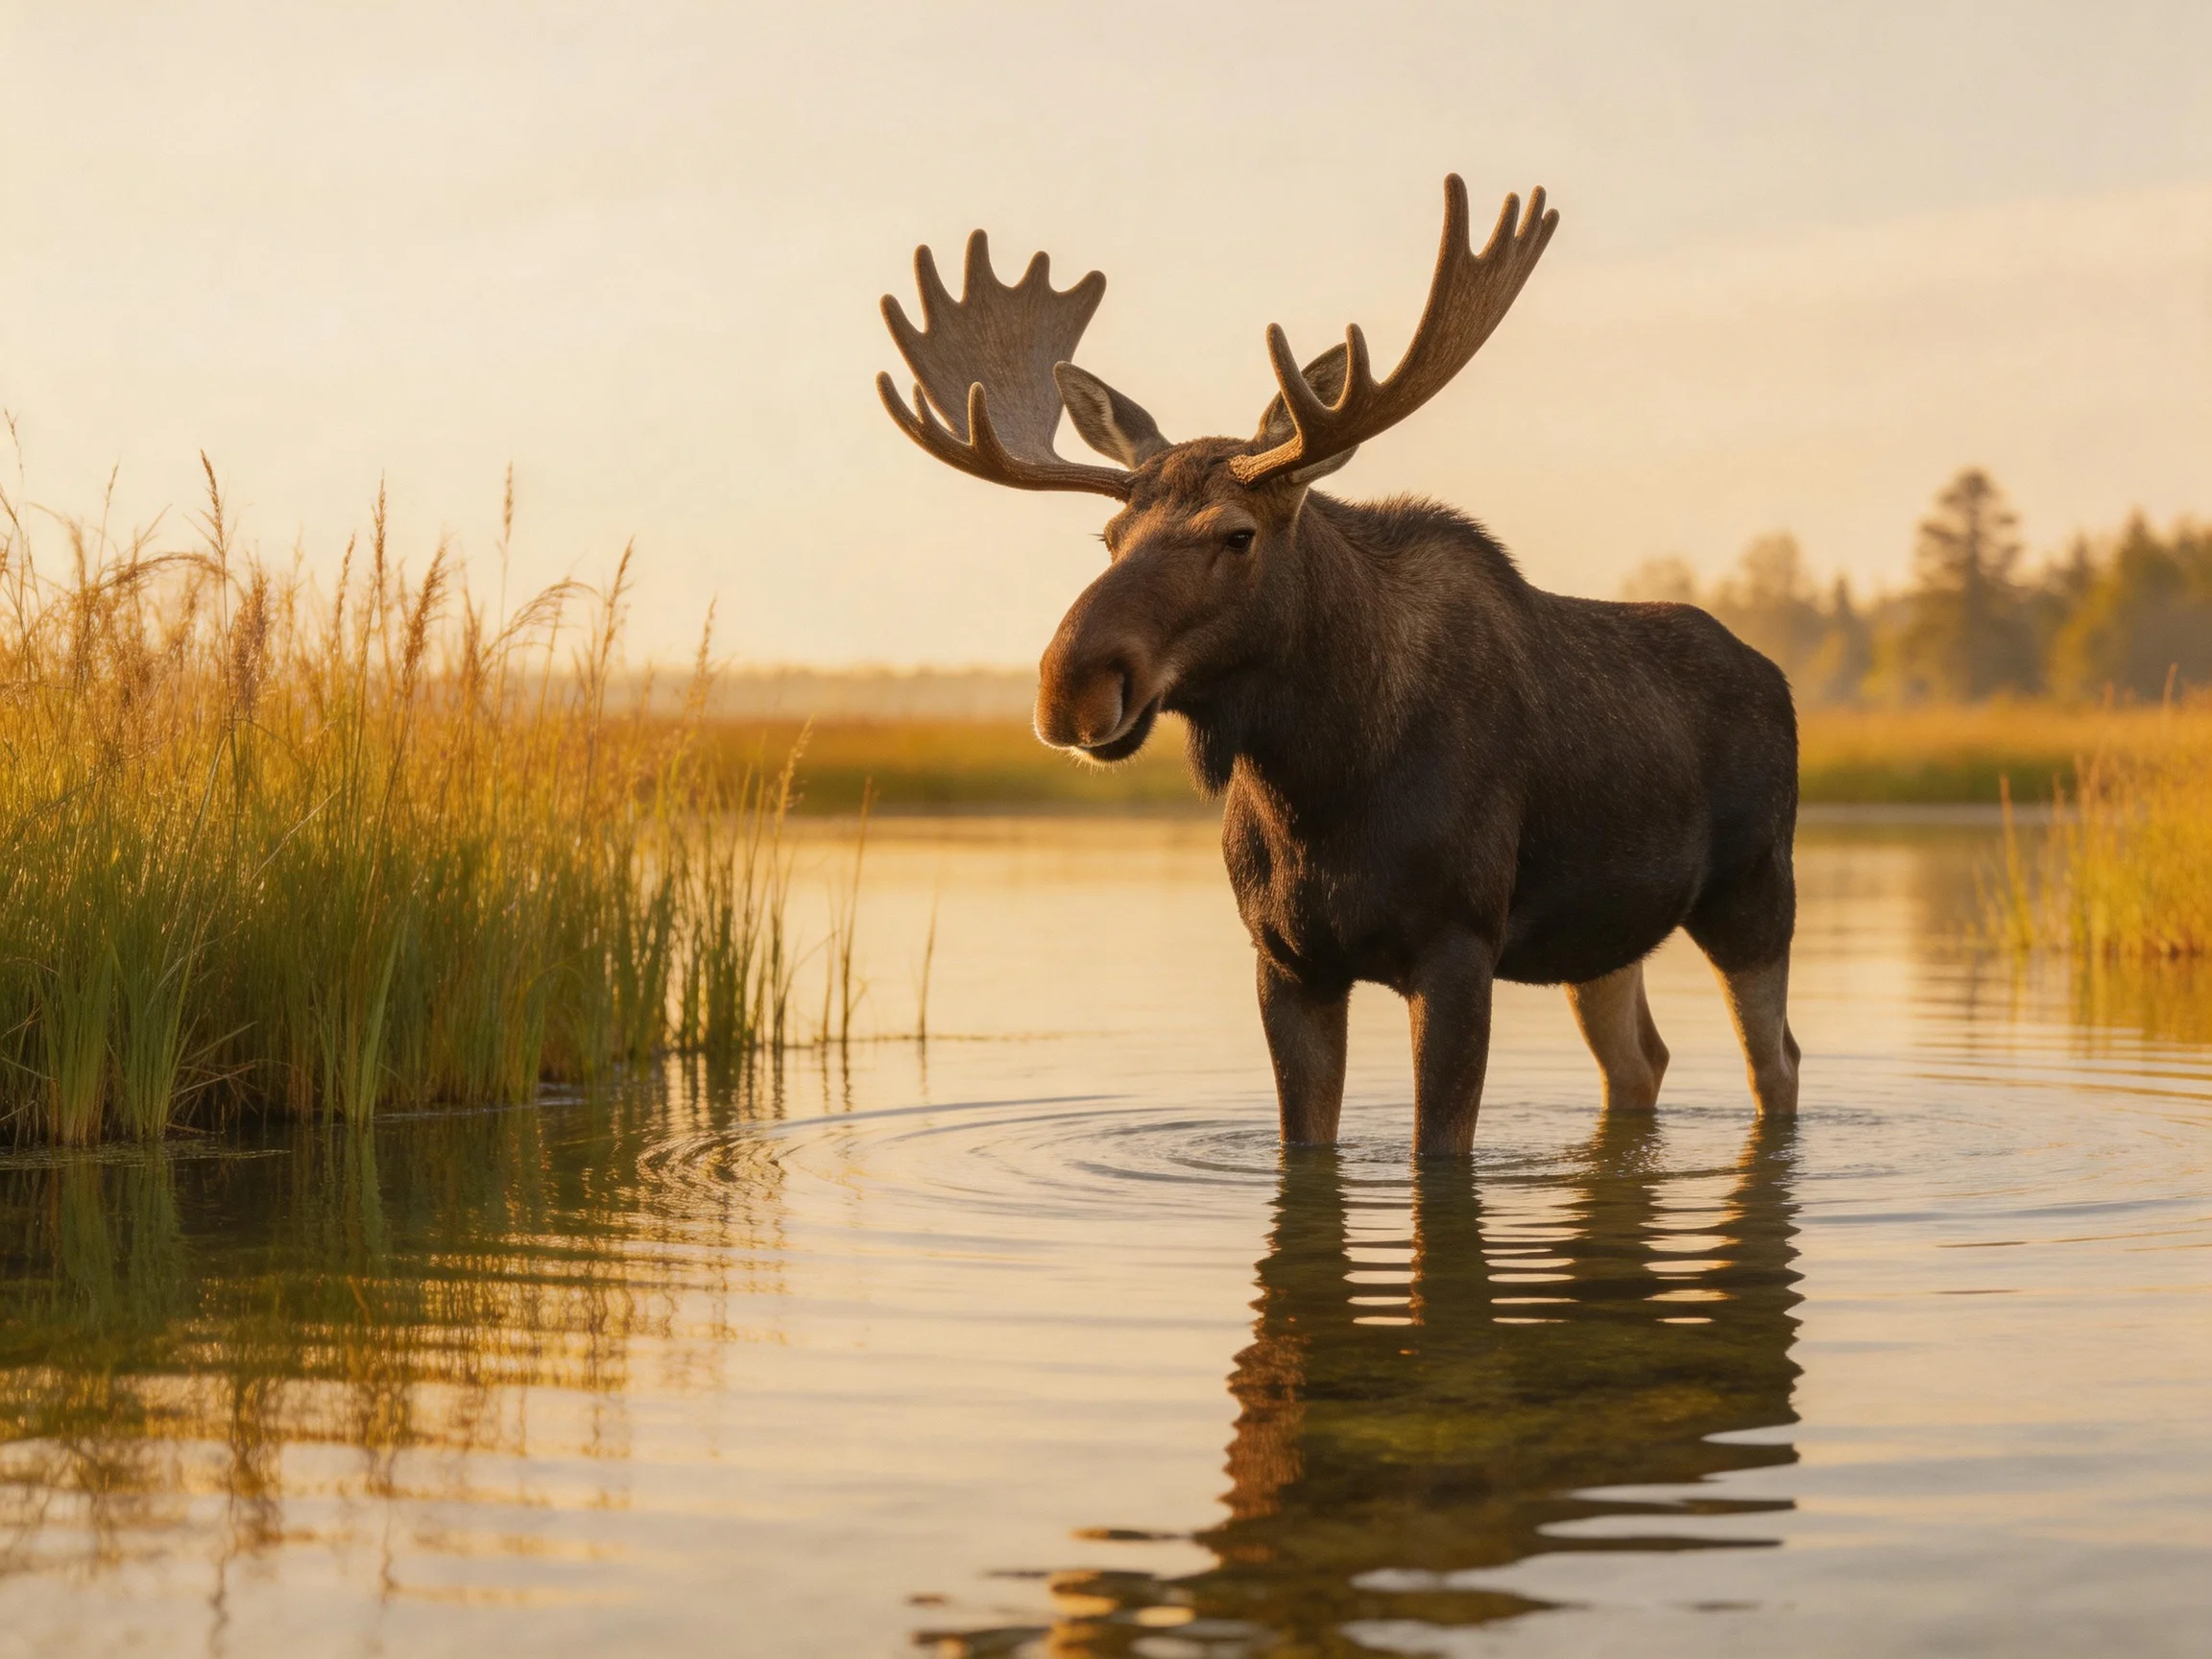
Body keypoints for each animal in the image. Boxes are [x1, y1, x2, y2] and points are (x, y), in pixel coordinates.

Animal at [876, 176, 1800, 1157]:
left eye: (1237, 535)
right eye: (1110, 535)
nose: (1071, 688)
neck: (1320, 786)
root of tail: (1777, 679)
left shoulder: (1458, 941)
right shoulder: (1285, 957)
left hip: (1754, 890)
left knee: (1776, 1063)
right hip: (1603, 936)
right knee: (1641, 1063)